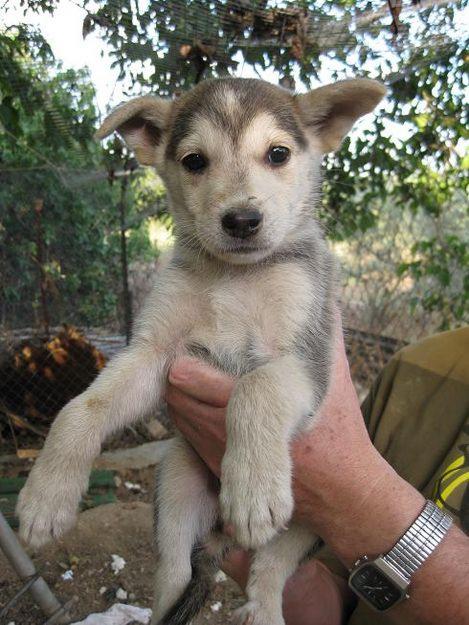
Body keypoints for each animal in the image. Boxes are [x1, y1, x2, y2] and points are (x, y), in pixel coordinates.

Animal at [17, 75, 384, 620]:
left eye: (278, 154)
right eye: (194, 161)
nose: (242, 220)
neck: (234, 276)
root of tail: (218, 535)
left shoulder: (307, 358)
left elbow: (256, 387)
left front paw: (252, 488)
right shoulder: (156, 354)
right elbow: (82, 407)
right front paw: (46, 496)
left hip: (313, 522)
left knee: (270, 570)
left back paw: (262, 607)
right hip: (174, 481)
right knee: (174, 572)